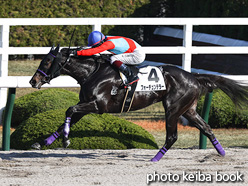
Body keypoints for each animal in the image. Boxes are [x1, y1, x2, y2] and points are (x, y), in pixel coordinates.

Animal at [29, 44, 248, 161]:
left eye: (47, 61)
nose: (33, 81)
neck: (92, 73)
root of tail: (193, 76)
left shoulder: (98, 106)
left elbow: (69, 109)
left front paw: (65, 140)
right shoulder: (86, 106)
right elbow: (67, 118)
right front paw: (43, 142)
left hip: (173, 108)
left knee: (172, 137)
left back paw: (155, 158)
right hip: (189, 110)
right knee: (207, 128)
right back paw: (222, 153)